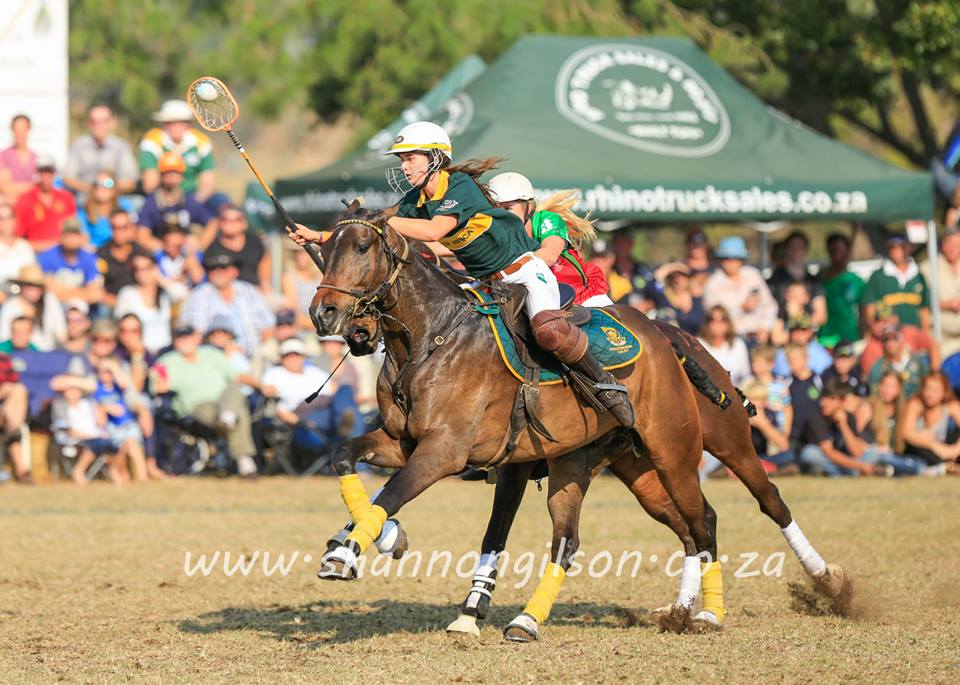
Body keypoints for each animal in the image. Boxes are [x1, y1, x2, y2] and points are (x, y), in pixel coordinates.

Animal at [308, 204, 720, 636]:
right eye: (326, 248)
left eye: (362, 246)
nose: (323, 313)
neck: (429, 337)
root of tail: (660, 332)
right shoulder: (400, 442)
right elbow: (345, 456)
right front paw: (381, 540)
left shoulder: (445, 450)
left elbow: (392, 494)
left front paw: (346, 555)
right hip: (591, 463)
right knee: (577, 538)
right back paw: (531, 619)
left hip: (672, 448)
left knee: (702, 519)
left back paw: (708, 614)